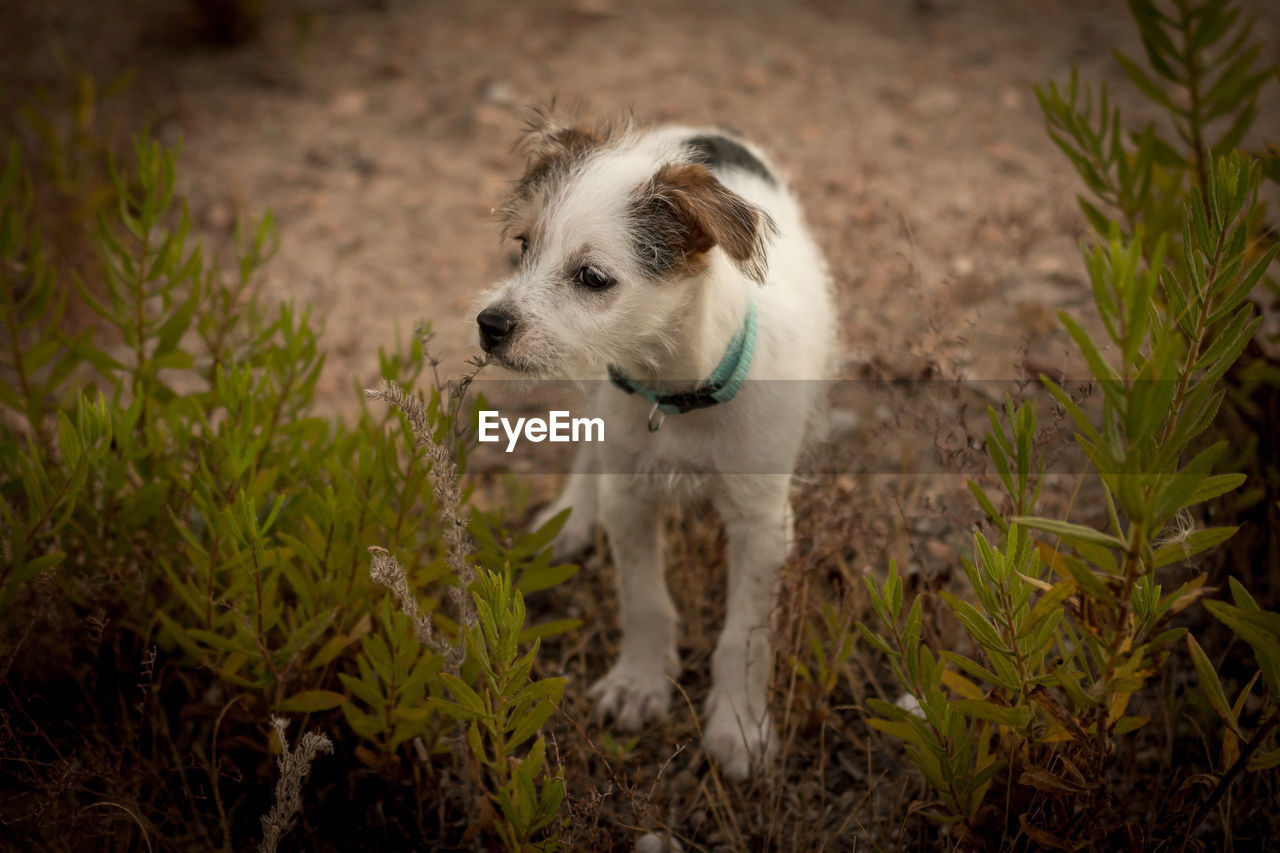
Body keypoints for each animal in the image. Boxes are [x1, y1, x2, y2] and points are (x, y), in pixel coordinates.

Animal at [476, 112, 834, 778]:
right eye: (524, 247)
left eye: (593, 278)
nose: (489, 326)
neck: (675, 394)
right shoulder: (630, 496)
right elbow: (643, 600)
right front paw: (639, 683)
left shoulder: (761, 522)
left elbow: (744, 634)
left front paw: (739, 726)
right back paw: (570, 517)